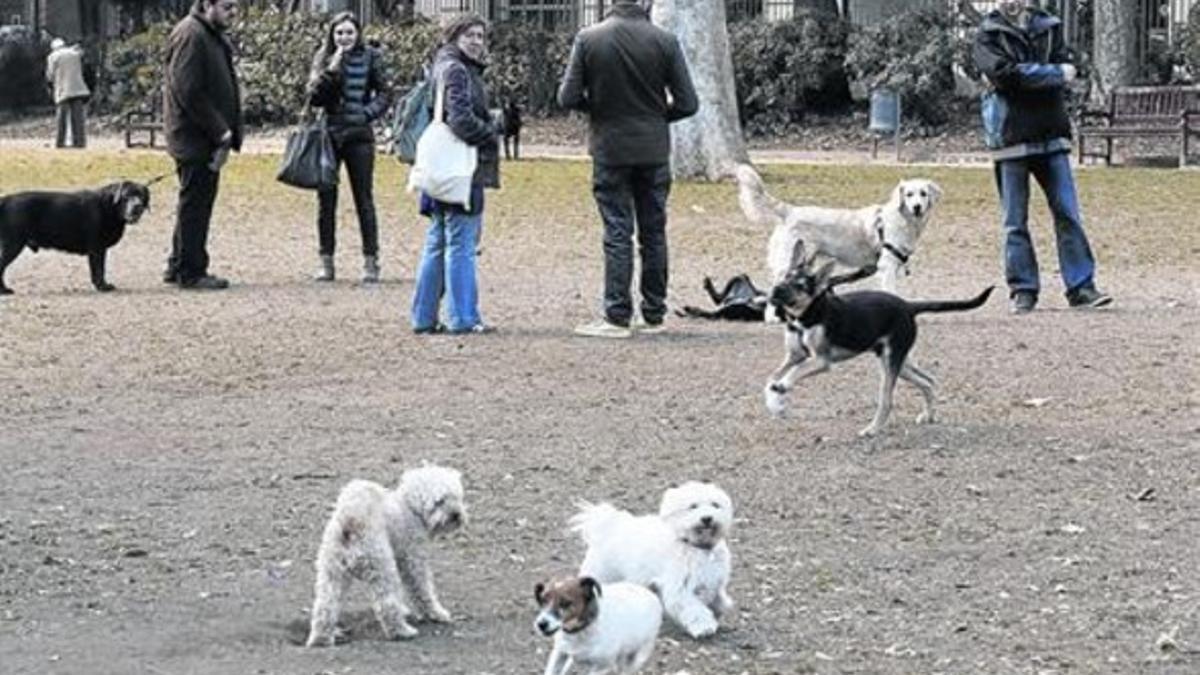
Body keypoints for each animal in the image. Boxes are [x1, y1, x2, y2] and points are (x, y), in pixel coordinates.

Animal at [0, 178, 158, 294]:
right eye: (126, 196)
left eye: (142, 196)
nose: (137, 206)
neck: (109, 207)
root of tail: (6, 199)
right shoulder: (96, 248)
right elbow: (99, 269)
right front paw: (102, 287)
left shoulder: (100, 249)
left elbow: (100, 269)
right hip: (13, 244)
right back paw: (4, 290)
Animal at [304, 466, 463, 643]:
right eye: (440, 501)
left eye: (457, 497)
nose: (456, 514)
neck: (410, 507)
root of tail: (351, 521)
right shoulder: (413, 560)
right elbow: (423, 590)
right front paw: (436, 614)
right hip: (382, 568)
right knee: (387, 605)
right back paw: (402, 631)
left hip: (331, 572)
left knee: (325, 607)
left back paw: (321, 638)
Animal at [568, 478, 729, 634]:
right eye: (693, 506)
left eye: (715, 505)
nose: (707, 518)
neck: (696, 547)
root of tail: (608, 527)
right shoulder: (679, 589)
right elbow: (694, 609)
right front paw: (704, 626)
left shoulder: (713, 580)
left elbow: (717, 597)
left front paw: (721, 606)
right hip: (603, 574)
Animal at [768, 240, 993, 437]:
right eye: (786, 276)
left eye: (800, 285)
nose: (775, 290)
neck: (806, 315)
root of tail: (908, 306)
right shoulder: (794, 356)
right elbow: (773, 375)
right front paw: (774, 401)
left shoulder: (822, 361)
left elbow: (795, 372)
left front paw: (783, 386)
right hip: (899, 363)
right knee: (929, 381)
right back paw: (928, 415)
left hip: (890, 363)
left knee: (887, 400)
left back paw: (872, 429)